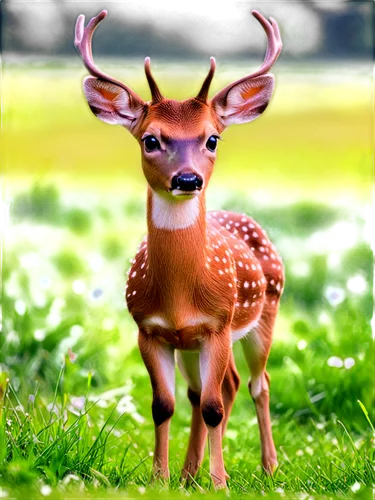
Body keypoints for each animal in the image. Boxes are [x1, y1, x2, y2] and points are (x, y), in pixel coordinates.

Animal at [74, 8, 284, 488]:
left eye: (212, 139)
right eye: (150, 139)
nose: (188, 179)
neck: (180, 296)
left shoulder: (218, 325)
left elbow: (213, 407)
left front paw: (221, 483)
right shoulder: (149, 330)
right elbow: (164, 405)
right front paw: (160, 478)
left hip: (264, 314)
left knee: (255, 384)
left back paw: (268, 467)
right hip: (191, 345)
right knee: (212, 388)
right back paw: (190, 473)